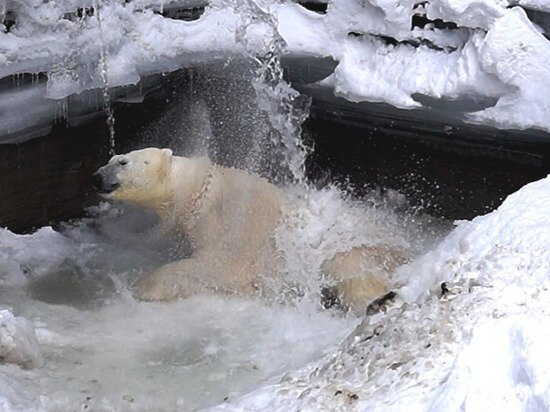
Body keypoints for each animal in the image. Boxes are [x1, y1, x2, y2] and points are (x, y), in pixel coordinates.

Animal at [92, 146, 408, 310]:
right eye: (109, 159)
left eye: (122, 161)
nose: (96, 177)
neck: (196, 190)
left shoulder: (230, 227)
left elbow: (212, 267)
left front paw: (142, 285)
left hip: (349, 250)